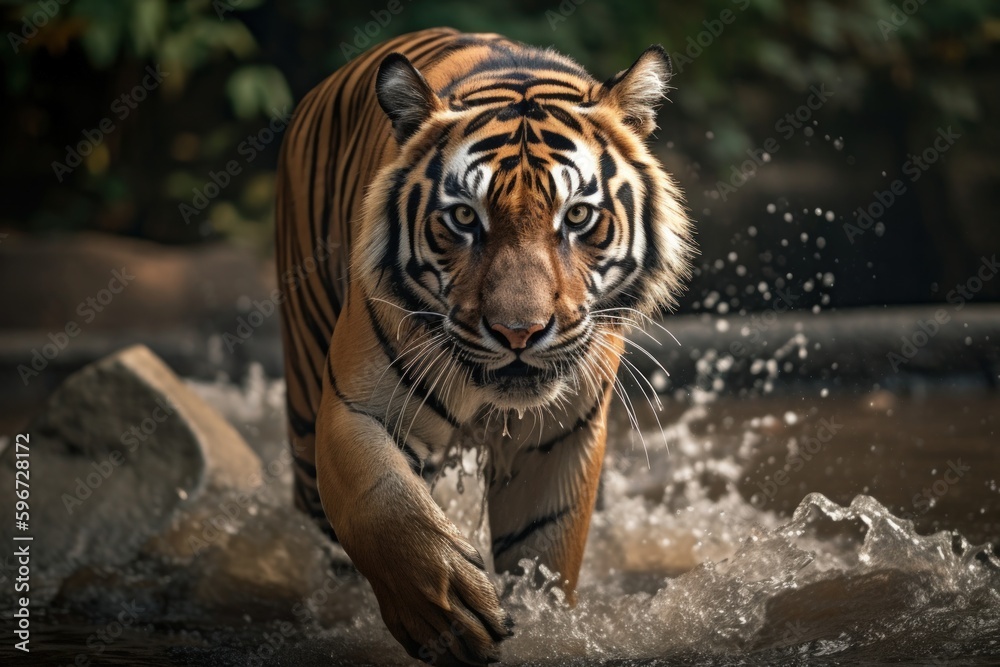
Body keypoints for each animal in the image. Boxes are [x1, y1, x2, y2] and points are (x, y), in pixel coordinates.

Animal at [275, 27, 694, 665]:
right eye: (464, 219)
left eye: (577, 215)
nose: (519, 332)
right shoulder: (355, 405)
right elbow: (382, 505)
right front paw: (446, 611)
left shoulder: (561, 436)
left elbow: (545, 553)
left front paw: (543, 623)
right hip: (302, 406)